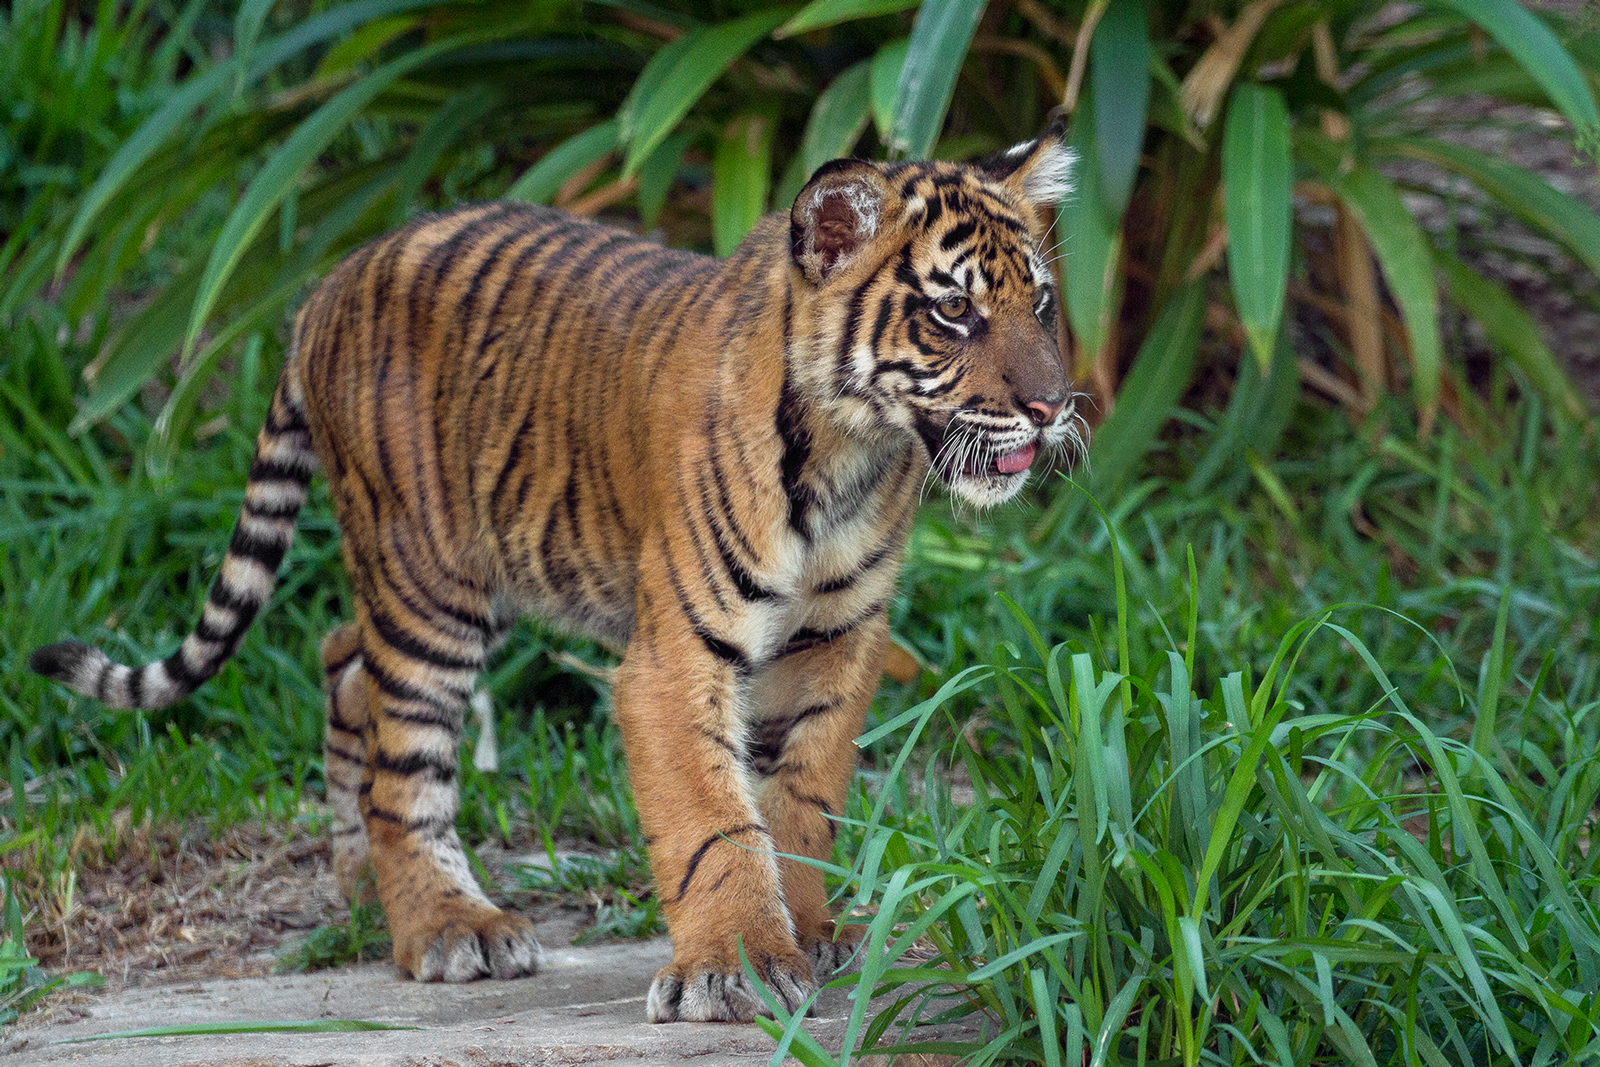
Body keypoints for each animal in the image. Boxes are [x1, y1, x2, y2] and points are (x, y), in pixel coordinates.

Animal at [37, 119, 1081, 1023]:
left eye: (1039, 303)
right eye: (953, 310)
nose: (1055, 404)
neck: (854, 451)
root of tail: (325, 288)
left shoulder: (839, 638)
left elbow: (805, 798)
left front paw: (813, 932)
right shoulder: (674, 655)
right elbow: (715, 817)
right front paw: (735, 967)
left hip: (480, 571)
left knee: (343, 662)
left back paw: (360, 884)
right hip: (429, 581)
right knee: (400, 763)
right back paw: (445, 925)